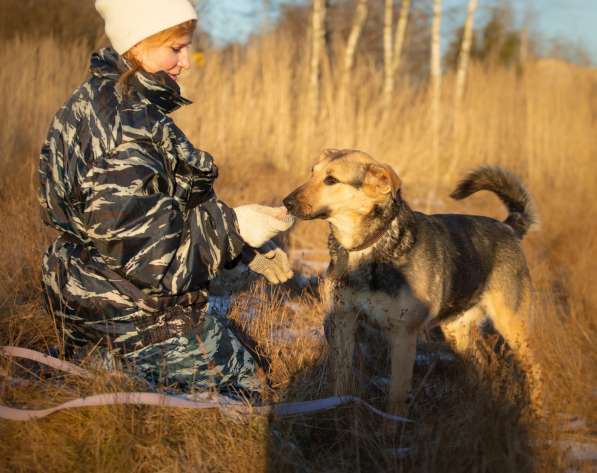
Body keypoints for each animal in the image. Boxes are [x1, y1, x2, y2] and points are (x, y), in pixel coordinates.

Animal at [282, 149, 544, 414]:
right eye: (312, 173)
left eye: (331, 180)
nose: (286, 203)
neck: (368, 246)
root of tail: (508, 227)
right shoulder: (342, 321)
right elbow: (342, 383)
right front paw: (338, 412)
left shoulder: (403, 334)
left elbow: (397, 396)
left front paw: (393, 425)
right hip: (456, 328)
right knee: (483, 362)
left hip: (514, 326)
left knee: (535, 369)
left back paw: (536, 413)